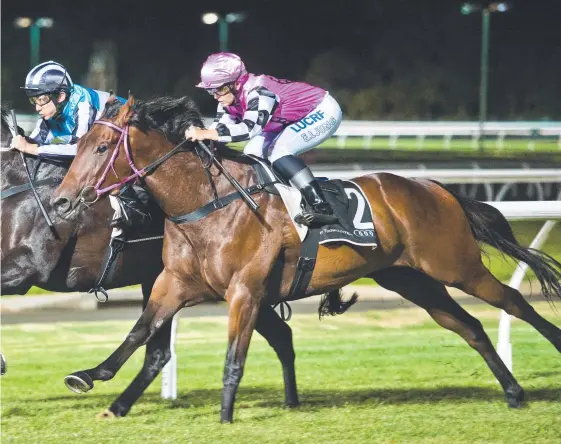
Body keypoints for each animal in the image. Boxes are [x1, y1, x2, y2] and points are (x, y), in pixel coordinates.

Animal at [51, 95, 560, 422]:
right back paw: (513, 392)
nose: (62, 200)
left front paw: (226, 417)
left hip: (457, 266)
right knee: (470, 326)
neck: (206, 201)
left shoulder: (245, 290)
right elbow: (140, 331)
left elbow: (234, 356)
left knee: (514, 302)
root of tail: (437, 188)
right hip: (413, 280)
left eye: (101, 148)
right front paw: (92, 379)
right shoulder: (174, 282)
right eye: (77, 146)